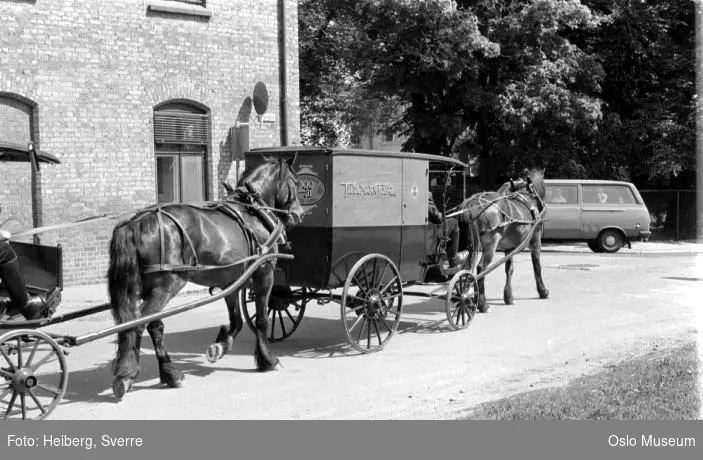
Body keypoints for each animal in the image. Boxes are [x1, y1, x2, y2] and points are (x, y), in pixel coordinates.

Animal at [106, 156, 304, 400]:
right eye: (296, 183)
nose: (300, 213)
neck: (253, 212)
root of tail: (136, 222)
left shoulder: (230, 281)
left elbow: (236, 321)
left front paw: (220, 347)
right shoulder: (264, 274)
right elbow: (262, 320)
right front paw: (268, 360)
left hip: (147, 287)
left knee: (151, 325)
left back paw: (168, 374)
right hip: (167, 285)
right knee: (141, 324)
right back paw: (135, 374)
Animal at [460, 169, 552, 312]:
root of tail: (472, 204)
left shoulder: (509, 248)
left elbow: (509, 269)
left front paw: (508, 296)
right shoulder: (536, 241)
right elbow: (537, 266)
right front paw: (543, 291)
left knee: (466, 269)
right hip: (491, 243)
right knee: (481, 267)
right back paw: (482, 303)